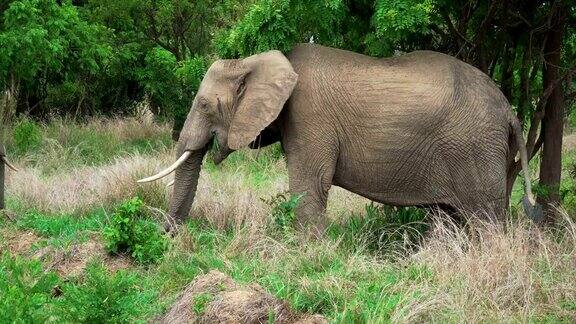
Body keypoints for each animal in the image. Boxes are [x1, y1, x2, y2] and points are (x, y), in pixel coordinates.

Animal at [138, 43, 536, 232]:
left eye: (205, 105)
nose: (168, 234)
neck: (255, 60)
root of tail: (509, 108)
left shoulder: (310, 118)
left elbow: (310, 184)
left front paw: (305, 254)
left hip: (474, 147)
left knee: (486, 220)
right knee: (448, 217)